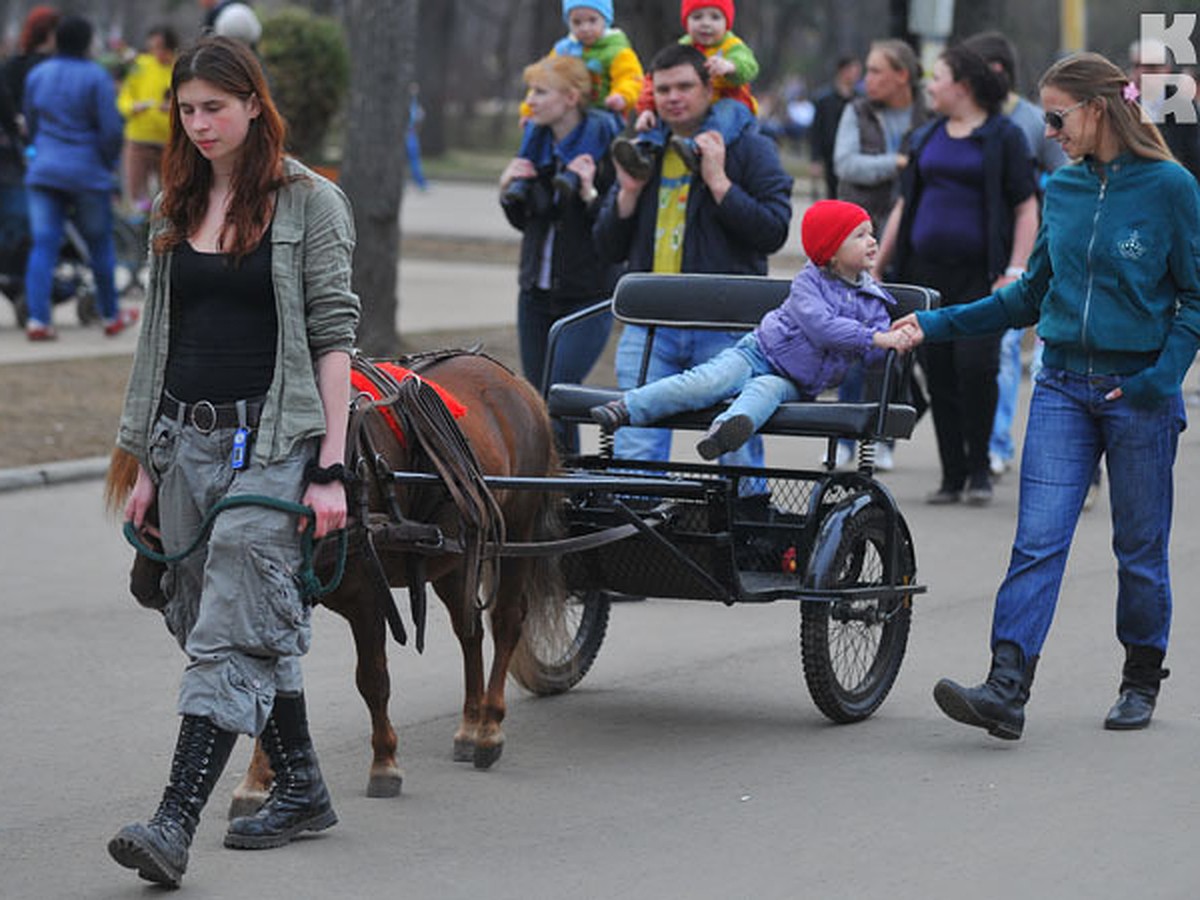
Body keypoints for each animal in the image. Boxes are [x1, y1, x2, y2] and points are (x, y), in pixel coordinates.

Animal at [105, 350, 564, 801]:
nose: (143, 587)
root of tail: (516, 383)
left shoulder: (366, 595)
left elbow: (372, 678)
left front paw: (384, 761)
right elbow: (268, 682)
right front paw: (258, 779)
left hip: (517, 534)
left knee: (506, 622)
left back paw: (489, 727)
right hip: (453, 556)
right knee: (469, 631)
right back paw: (470, 724)